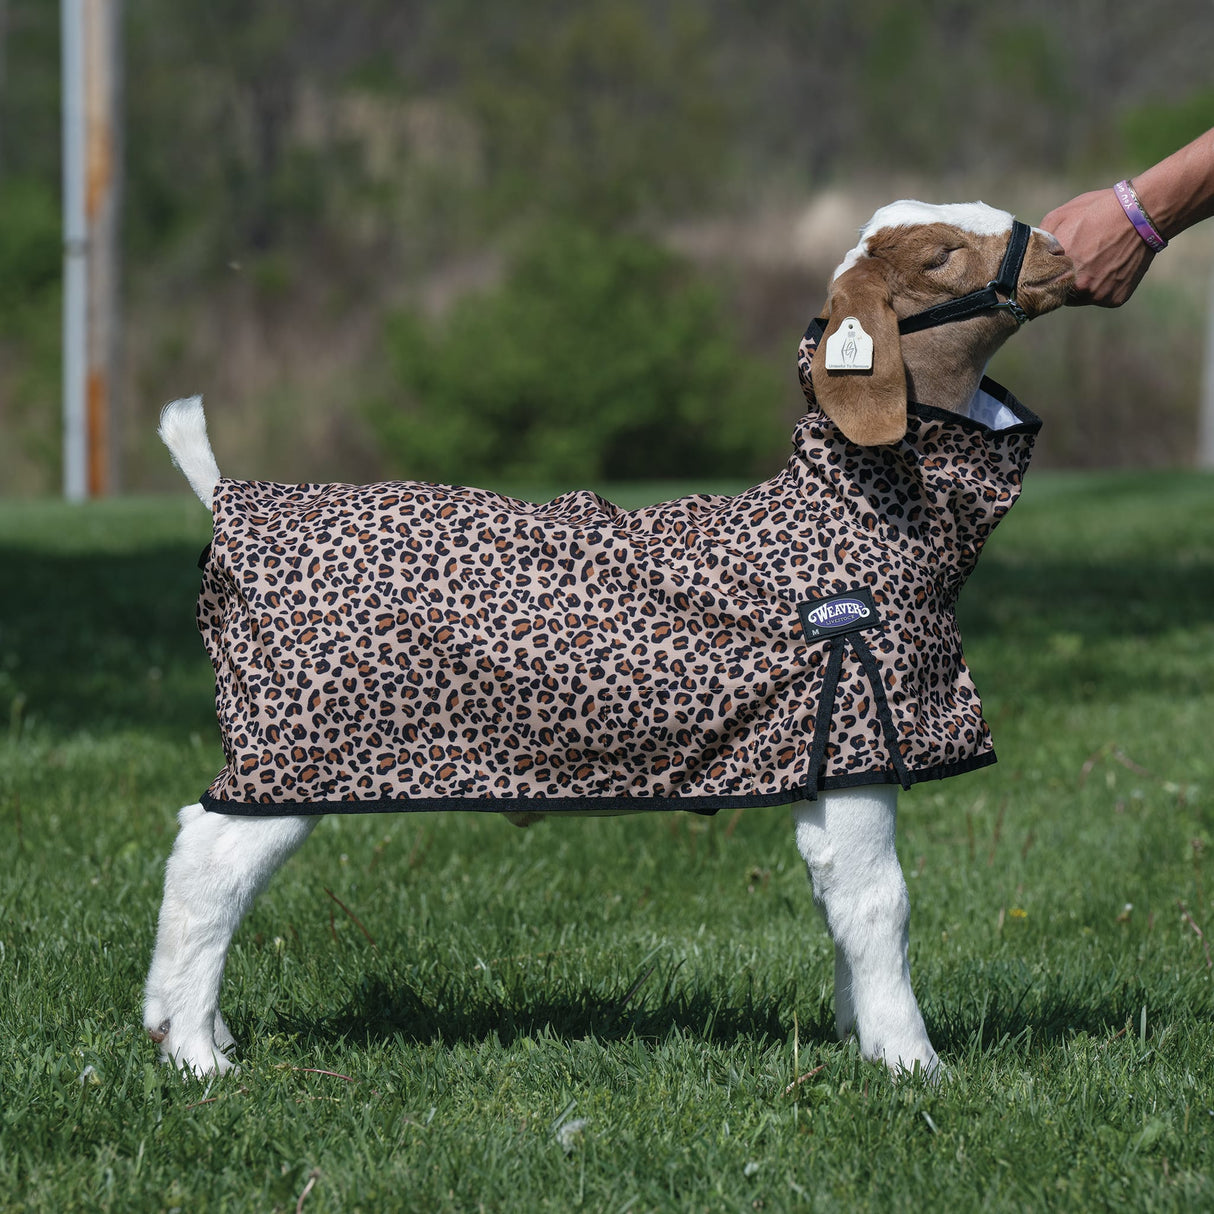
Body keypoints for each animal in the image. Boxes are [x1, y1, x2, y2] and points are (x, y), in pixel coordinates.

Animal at [144, 200, 1073, 1079]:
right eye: (940, 256)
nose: (1060, 250)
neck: (854, 510)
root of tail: (228, 499)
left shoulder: (830, 766)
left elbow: (835, 904)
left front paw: (857, 1039)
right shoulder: (856, 732)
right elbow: (880, 904)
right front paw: (914, 1062)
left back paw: (185, 1027)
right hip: (297, 749)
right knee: (207, 866)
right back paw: (195, 1055)